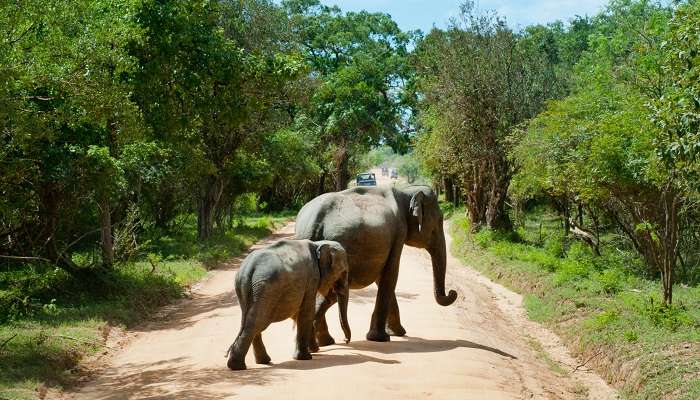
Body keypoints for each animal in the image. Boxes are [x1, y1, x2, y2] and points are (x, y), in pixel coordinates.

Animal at [227, 239, 350, 370]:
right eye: (344, 272)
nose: (345, 340)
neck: (317, 244)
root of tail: (249, 268)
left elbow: (298, 312)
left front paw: (311, 351)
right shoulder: (312, 277)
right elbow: (307, 311)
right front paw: (306, 357)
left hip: (246, 288)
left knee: (251, 321)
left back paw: (259, 362)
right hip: (267, 289)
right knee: (258, 322)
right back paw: (238, 366)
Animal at [292, 184, 456, 344]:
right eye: (439, 221)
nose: (452, 292)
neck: (406, 191)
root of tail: (311, 223)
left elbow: (382, 277)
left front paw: (397, 333)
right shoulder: (399, 232)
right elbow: (391, 275)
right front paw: (381, 338)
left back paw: (325, 342)